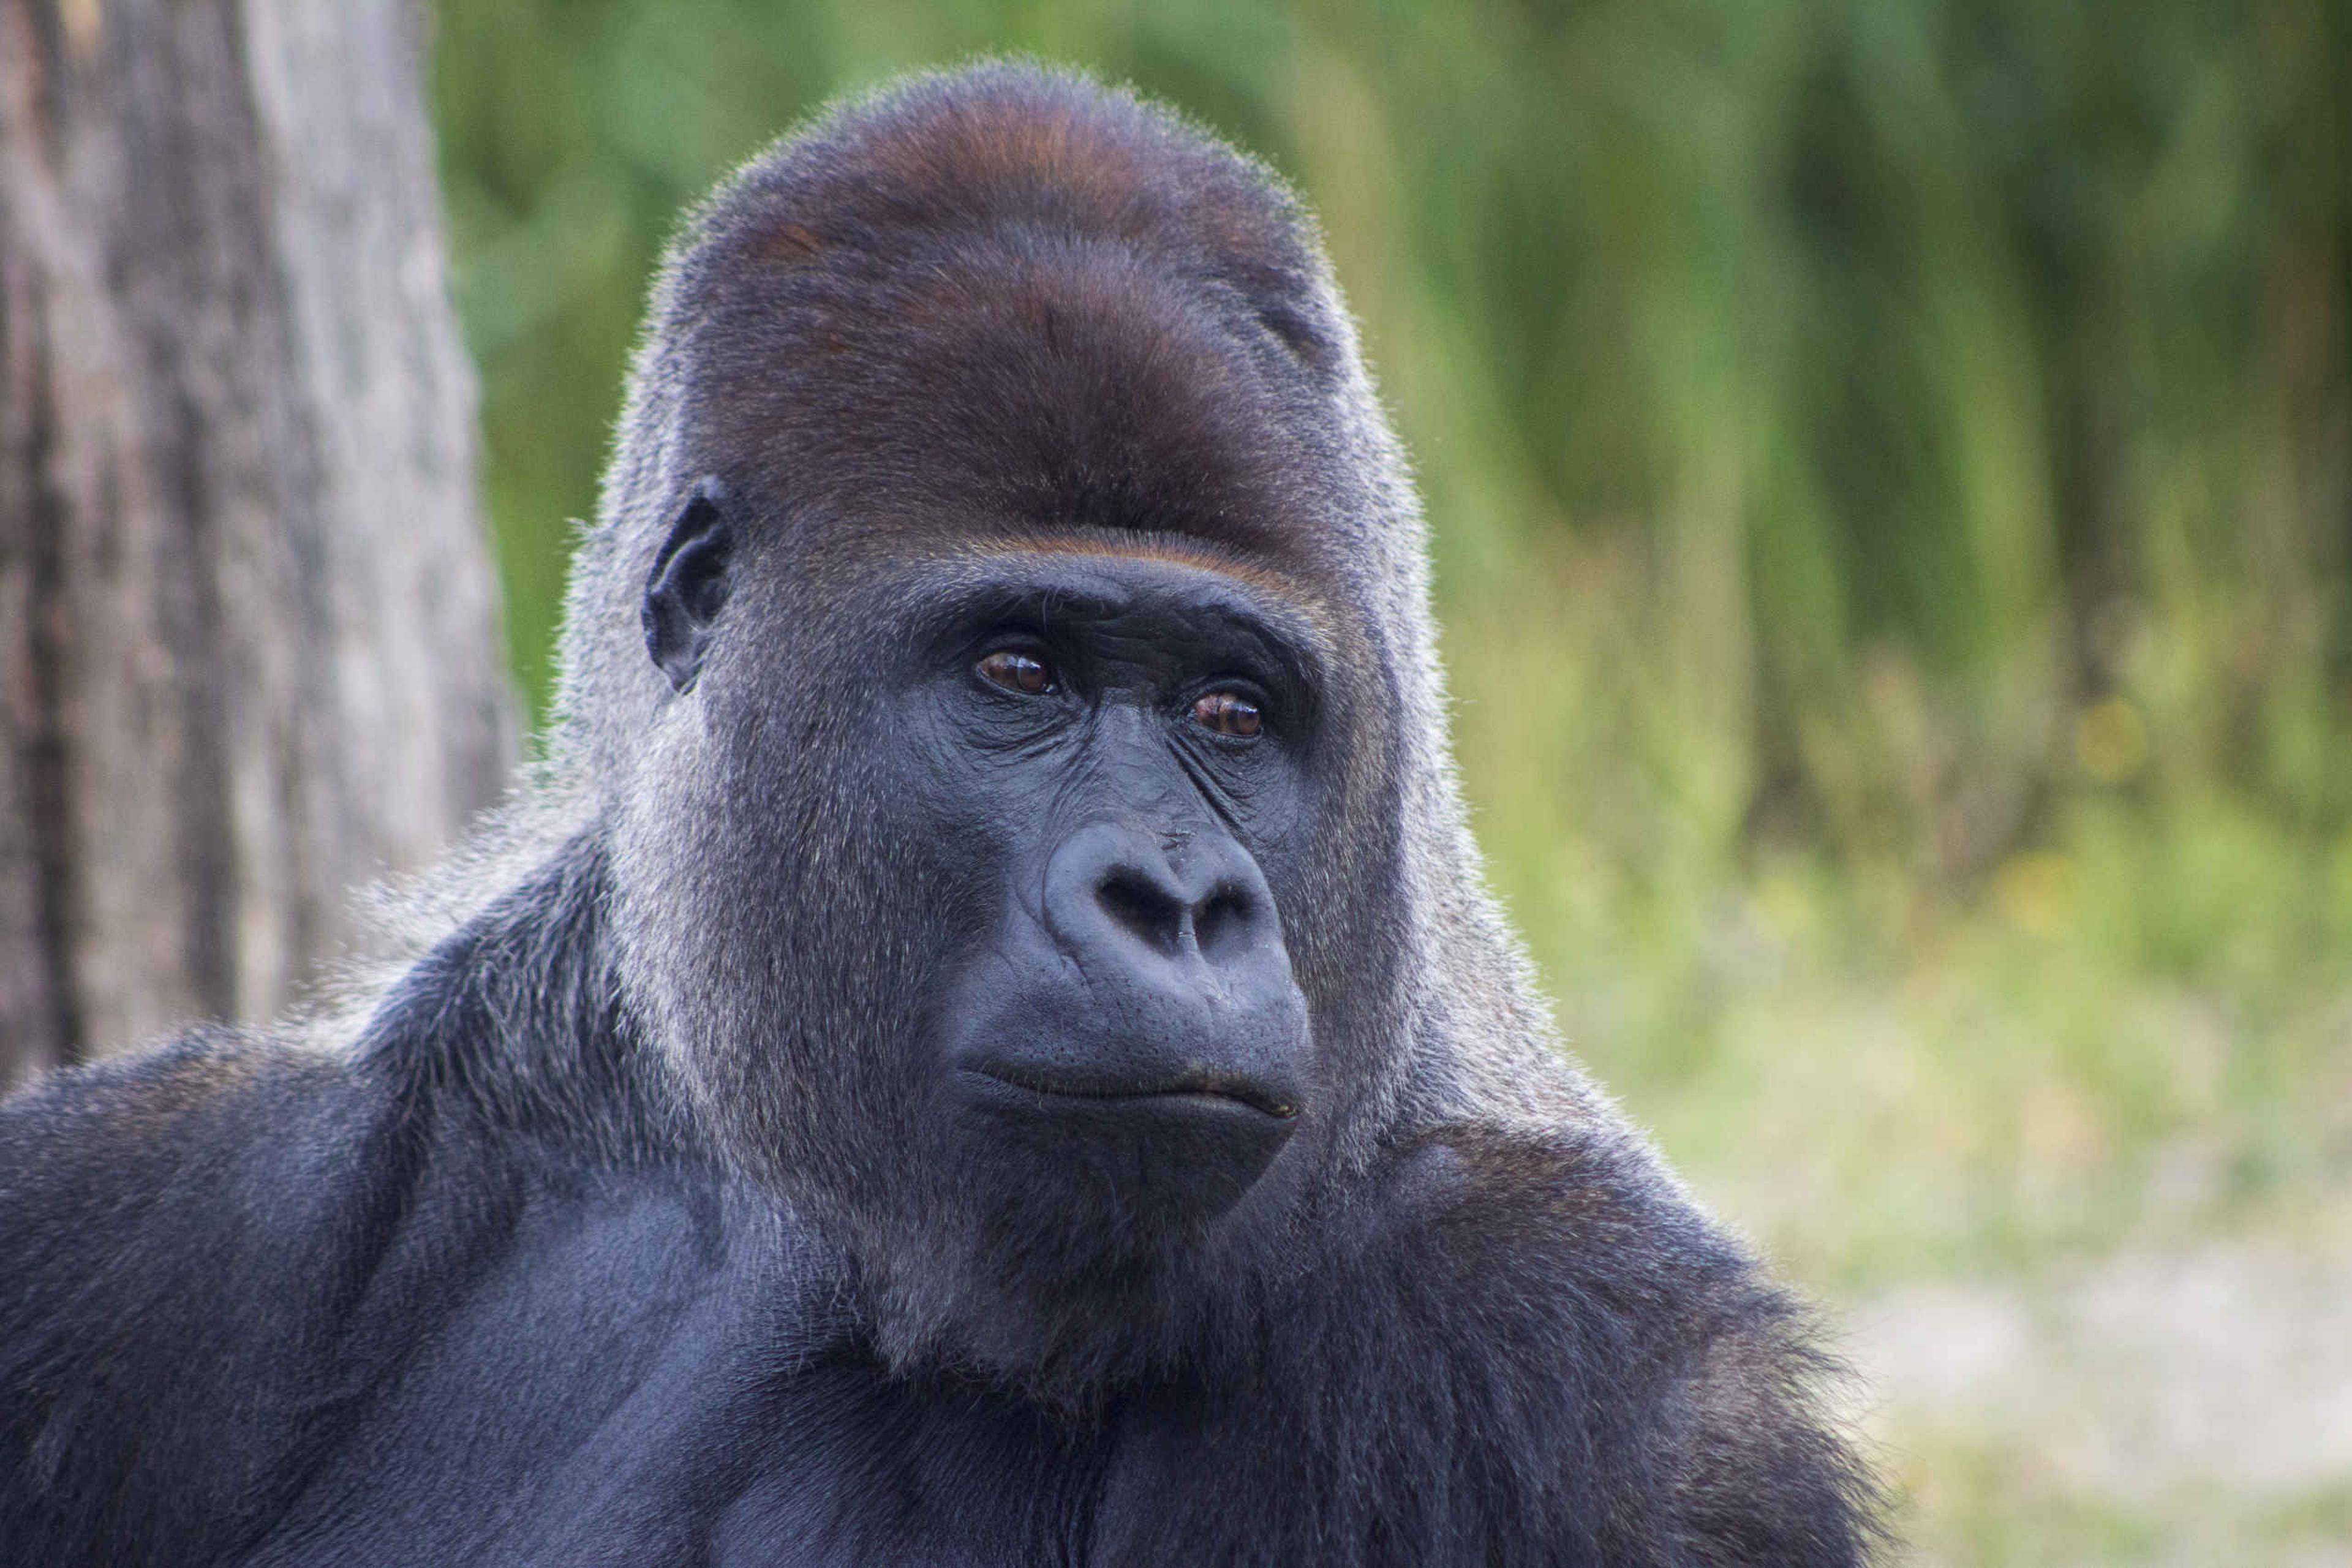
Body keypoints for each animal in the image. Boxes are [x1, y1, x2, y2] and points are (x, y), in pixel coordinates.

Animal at [0, 62, 1880, 1566]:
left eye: (1231, 712)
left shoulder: (1608, 1392)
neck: (775, 1187)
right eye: (1019, 671)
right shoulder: (161, 1201)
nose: (1174, 899)